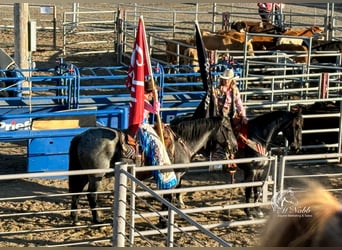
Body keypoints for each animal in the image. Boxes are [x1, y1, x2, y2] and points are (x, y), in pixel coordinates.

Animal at [68, 114, 236, 223]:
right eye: (228, 128)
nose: (235, 147)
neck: (181, 142)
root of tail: (81, 136)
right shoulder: (174, 175)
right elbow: (168, 197)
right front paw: (164, 221)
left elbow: (169, 195)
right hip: (96, 175)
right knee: (91, 195)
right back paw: (97, 220)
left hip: (83, 174)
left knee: (77, 192)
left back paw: (75, 218)